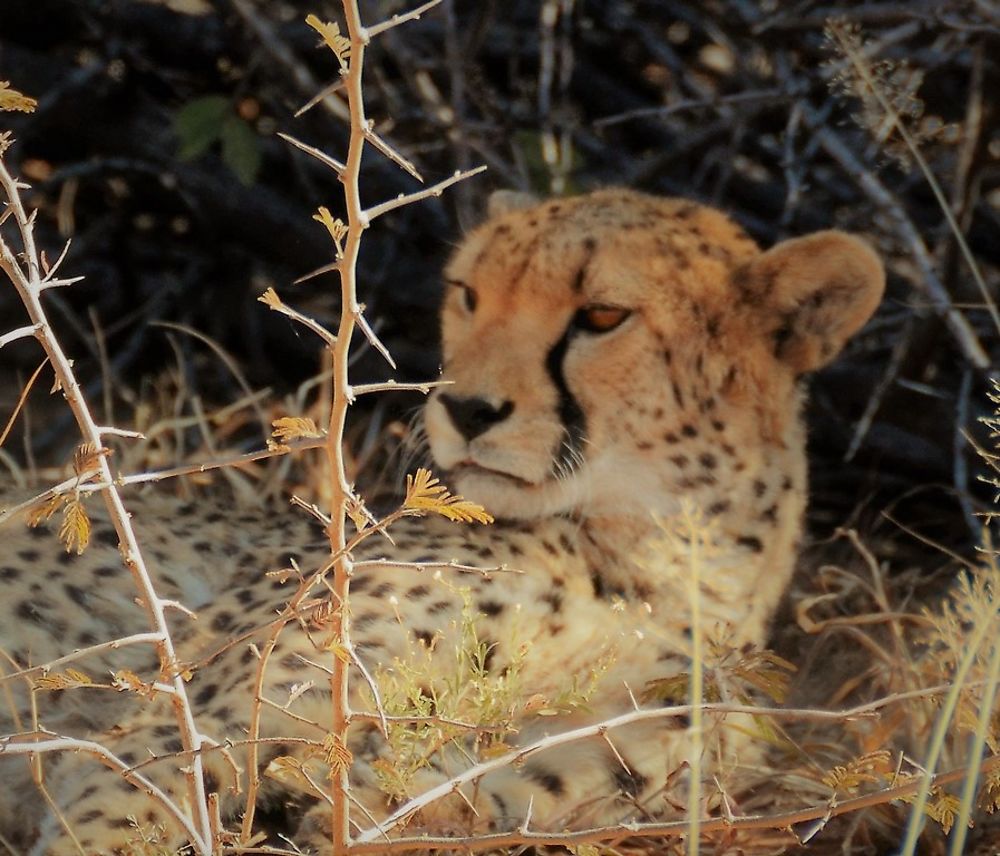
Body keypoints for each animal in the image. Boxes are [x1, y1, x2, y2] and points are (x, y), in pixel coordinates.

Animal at [0, 191, 884, 852]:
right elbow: (123, 811)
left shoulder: (614, 748)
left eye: (602, 316)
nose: (465, 408)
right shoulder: (172, 729)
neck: (660, 552)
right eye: (469, 293)